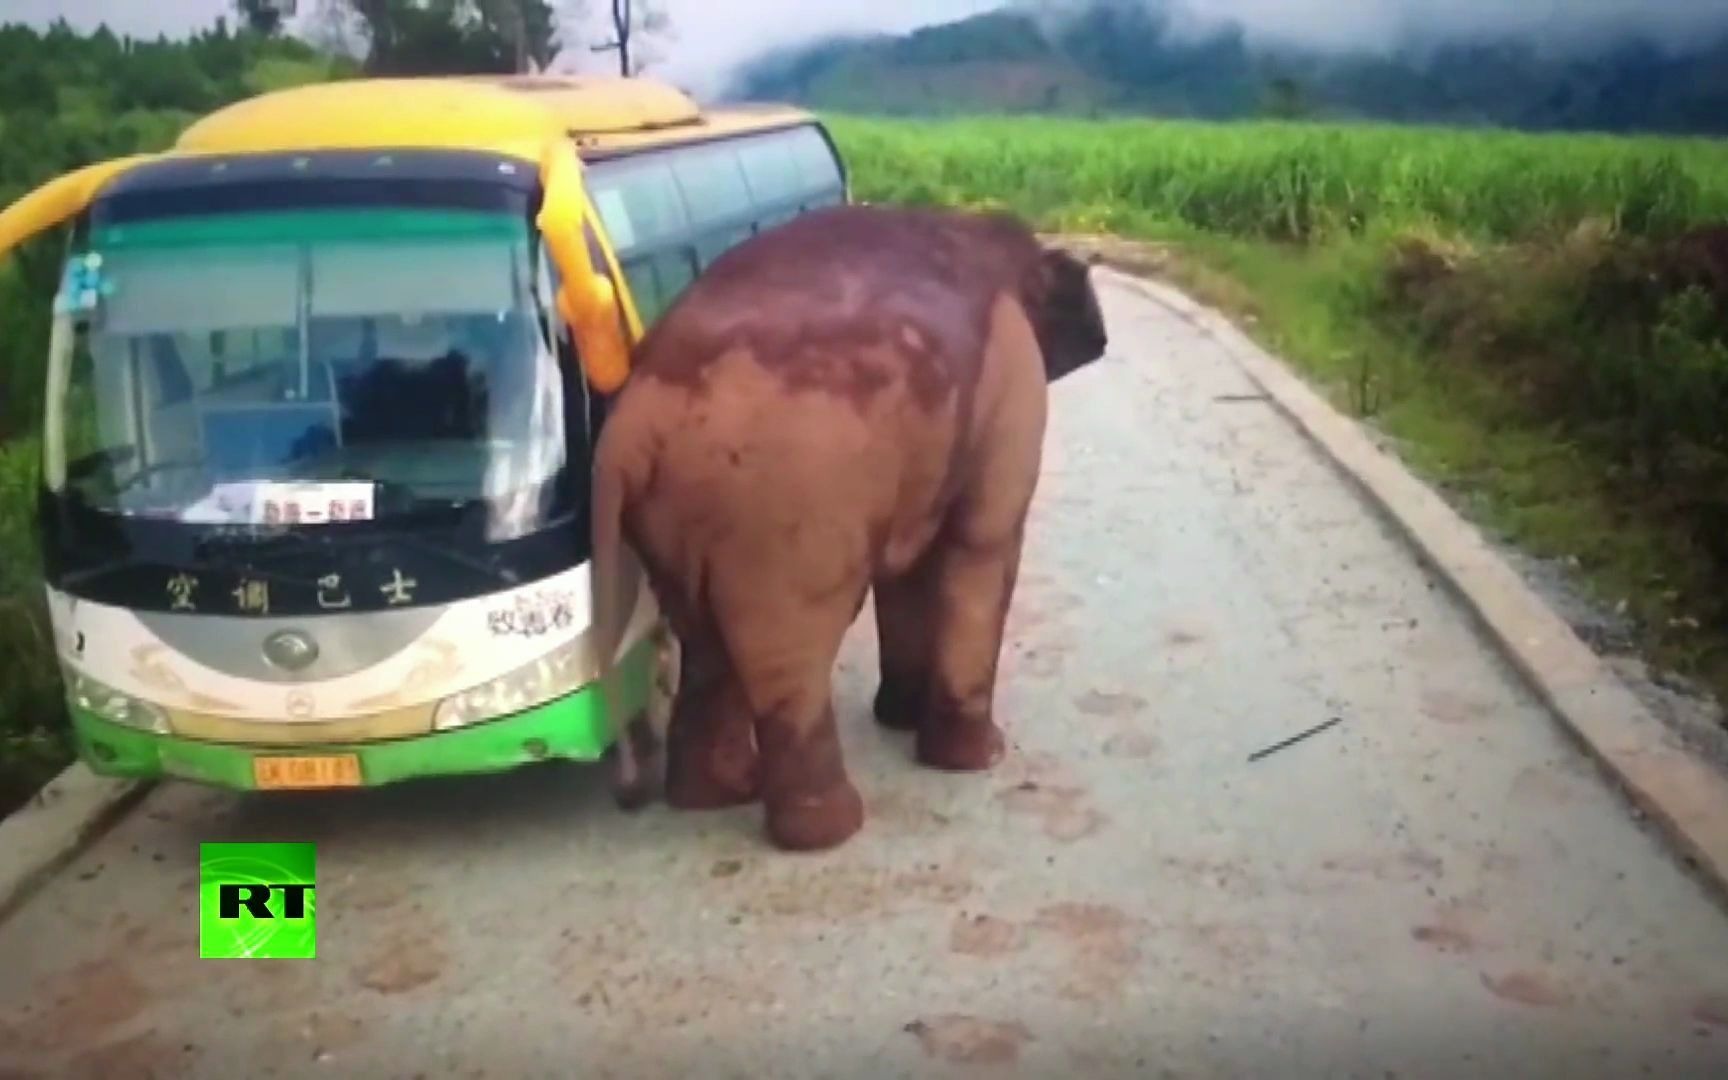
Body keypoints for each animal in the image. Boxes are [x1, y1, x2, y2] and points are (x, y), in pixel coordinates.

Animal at [590, 202, 1105, 850]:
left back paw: (716, 795)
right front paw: (981, 758)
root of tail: (630, 431)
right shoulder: (1011, 381)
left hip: (678, 516)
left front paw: (899, 720)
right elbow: (983, 541)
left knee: (704, 639)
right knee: (792, 649)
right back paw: (827, 830)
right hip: (782, 509)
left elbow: (908, 570)